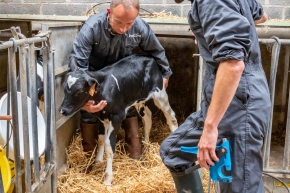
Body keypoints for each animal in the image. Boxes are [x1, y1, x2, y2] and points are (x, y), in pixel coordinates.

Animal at [58, 54, 178, 185]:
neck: (102, 91)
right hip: (139, 99)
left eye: (79, 91)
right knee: (147, 117)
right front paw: (98, 162)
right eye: (64, 88)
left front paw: (107, 178)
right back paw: (146, 147)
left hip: (160, 94)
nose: (62, 110)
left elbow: (109, 146)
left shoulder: (116, 117)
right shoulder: (102, 117)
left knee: (171, 117)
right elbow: (101, 140)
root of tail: (148, 57)